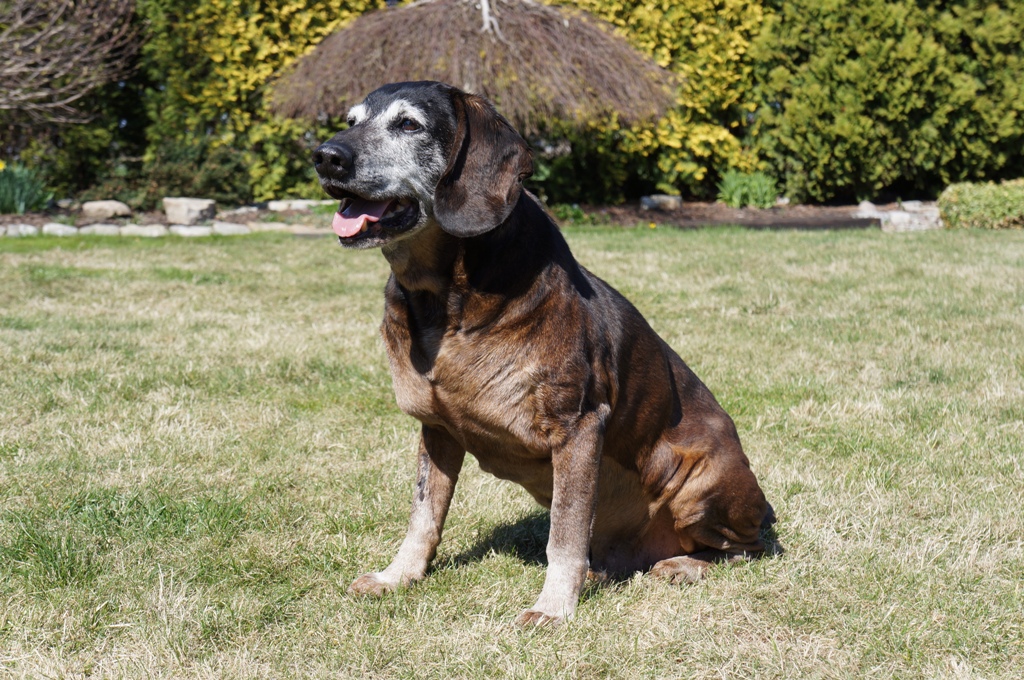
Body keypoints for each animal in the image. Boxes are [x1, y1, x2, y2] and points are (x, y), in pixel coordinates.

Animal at [313, 81, 772, 626]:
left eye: (408, 124)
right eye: (351, 120)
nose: (325, 155)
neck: (445, 302)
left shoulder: (578, 428)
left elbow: (565, 532)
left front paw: (554, 607)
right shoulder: (437, 430)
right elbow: (424, 515)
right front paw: (397, 576)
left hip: (704, 479)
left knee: (745, 549)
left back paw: (684, 564)